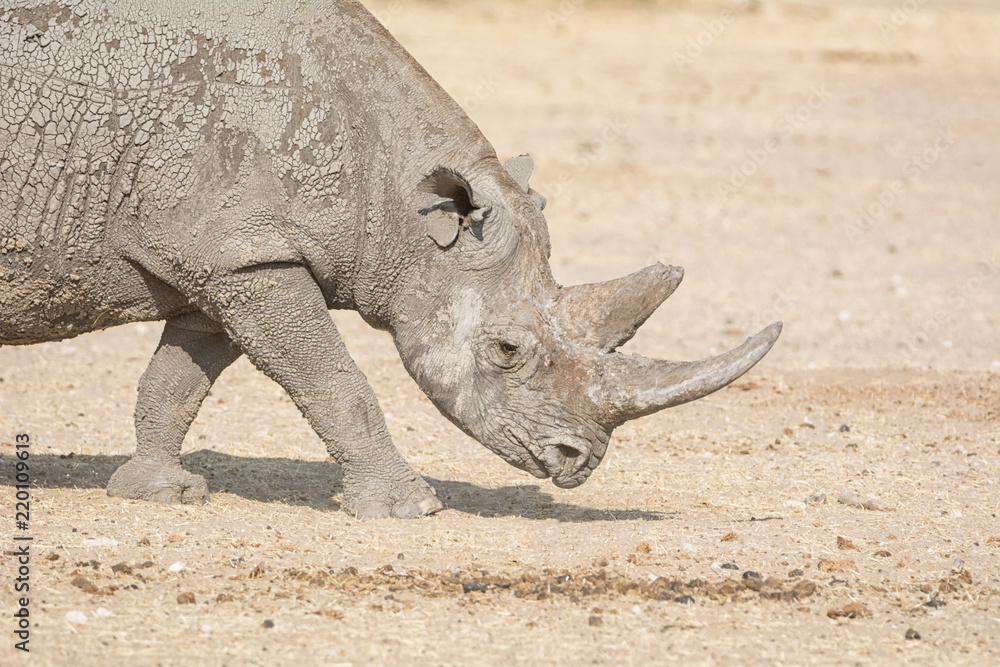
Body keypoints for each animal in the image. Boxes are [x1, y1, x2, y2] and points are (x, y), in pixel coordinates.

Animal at [0, 0, 781, 518]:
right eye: (505, 350)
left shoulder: (229, 257)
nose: (576, 463)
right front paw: (410, 509)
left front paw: (161, 493)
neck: (402, 203)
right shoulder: (249, 261)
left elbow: (178, 381)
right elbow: (335, 381)